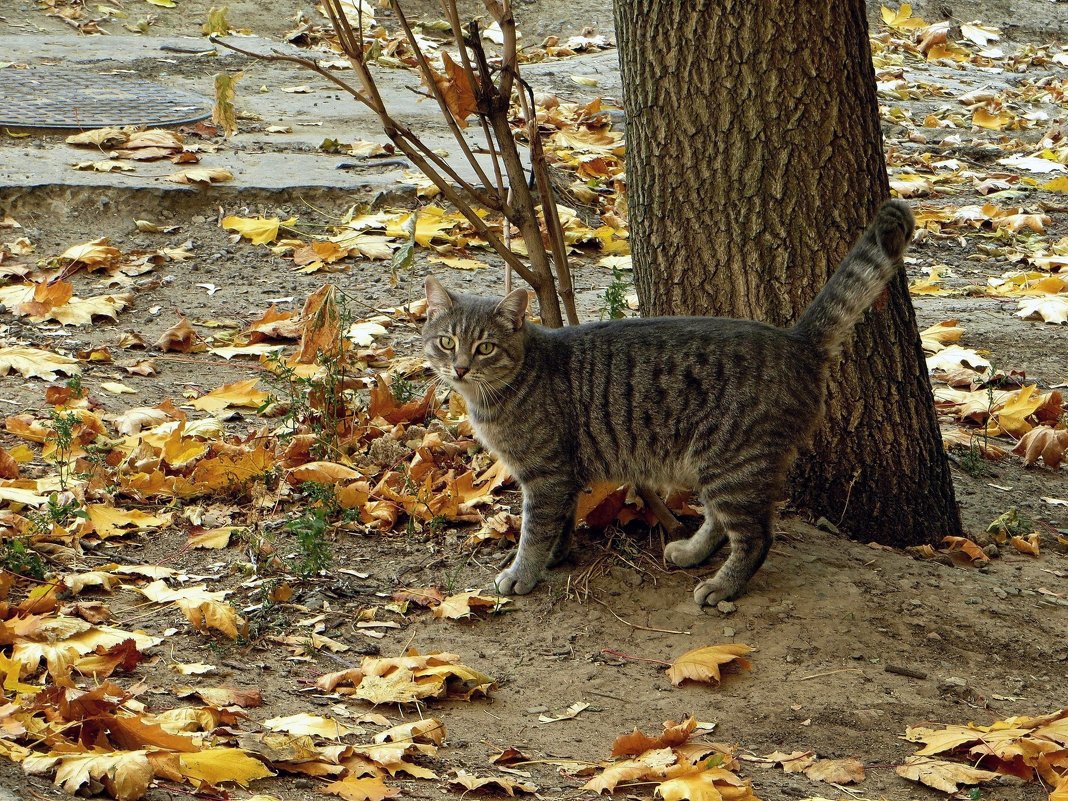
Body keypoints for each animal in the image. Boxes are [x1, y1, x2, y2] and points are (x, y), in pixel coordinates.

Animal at [420, 201, 914, 606]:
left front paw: (523, 572)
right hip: (716, 464)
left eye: (484, 348)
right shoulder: (562, 475)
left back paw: (722, 586)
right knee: (719, 521)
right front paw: (555, 559)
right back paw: (693, 551)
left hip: (732, 461)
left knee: (755, 536)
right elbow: (560, 525)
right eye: (447, 342)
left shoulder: (547, 474)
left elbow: (535, 530)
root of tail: (797, 340)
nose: (459, 368)